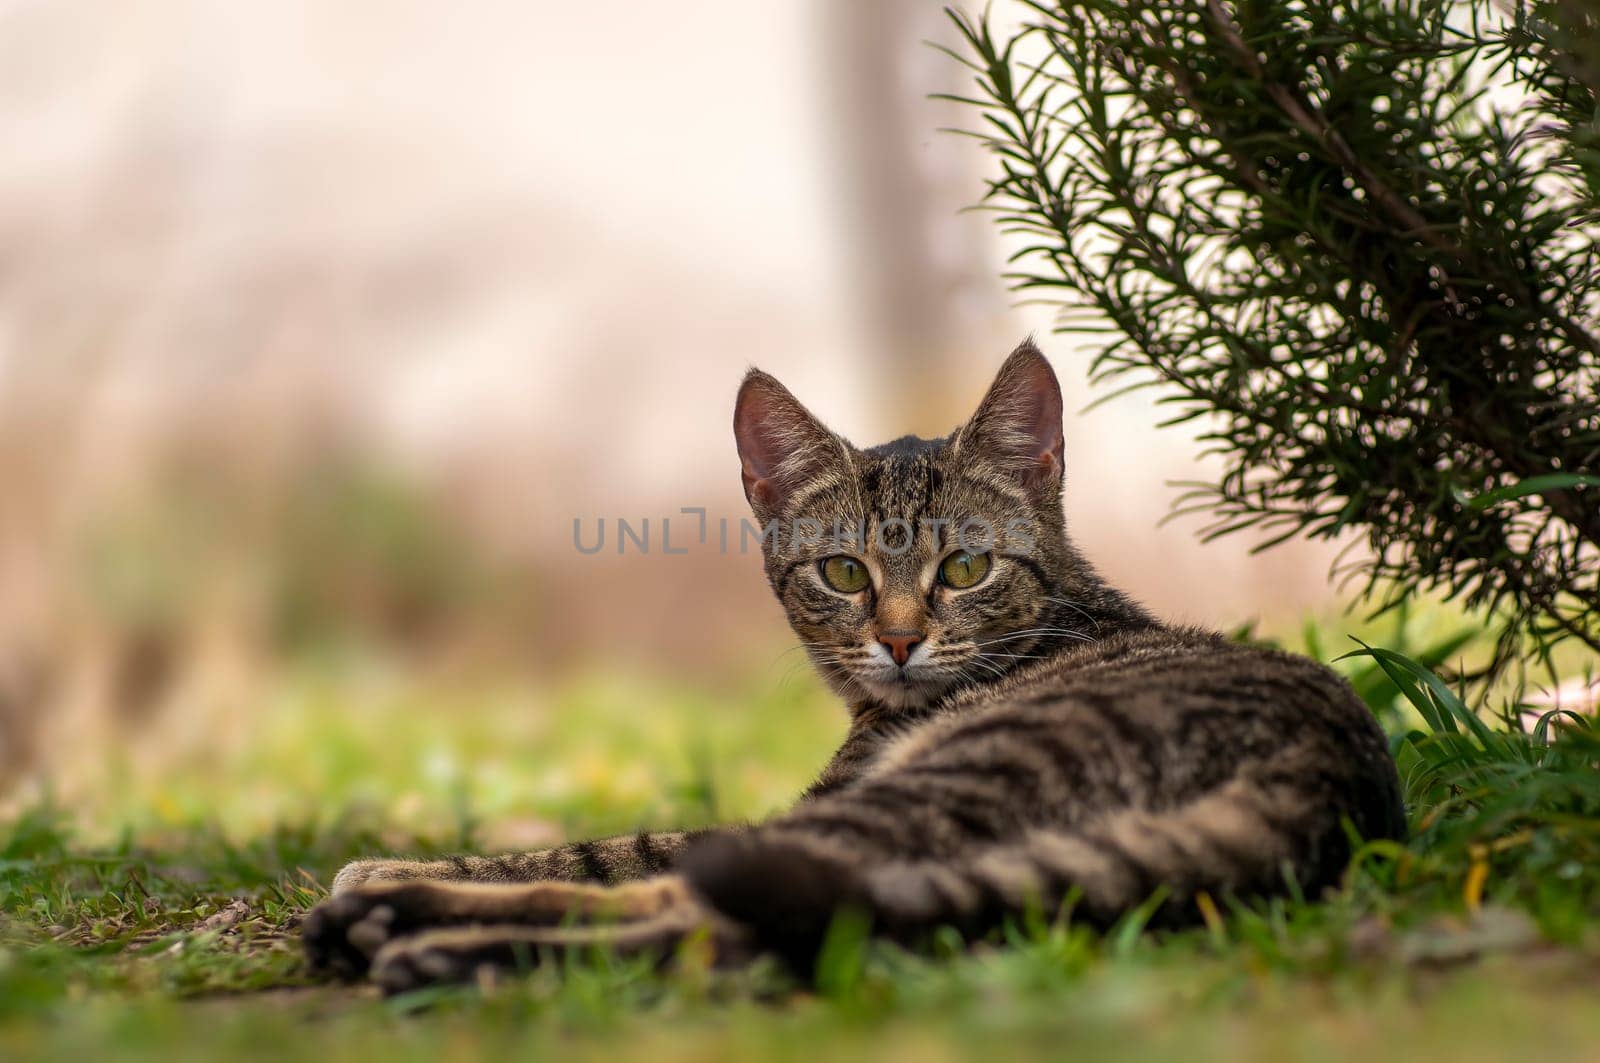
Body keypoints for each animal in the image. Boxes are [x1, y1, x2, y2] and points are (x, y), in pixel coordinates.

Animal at [300, 342, 1401, 998]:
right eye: (841, 572)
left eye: (964, 567)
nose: (902, 639)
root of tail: (1331, 784)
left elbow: (608, 848)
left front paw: (398, 863)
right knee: (748, 932)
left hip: (941, 783)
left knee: (709, 911)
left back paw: (420, 933)